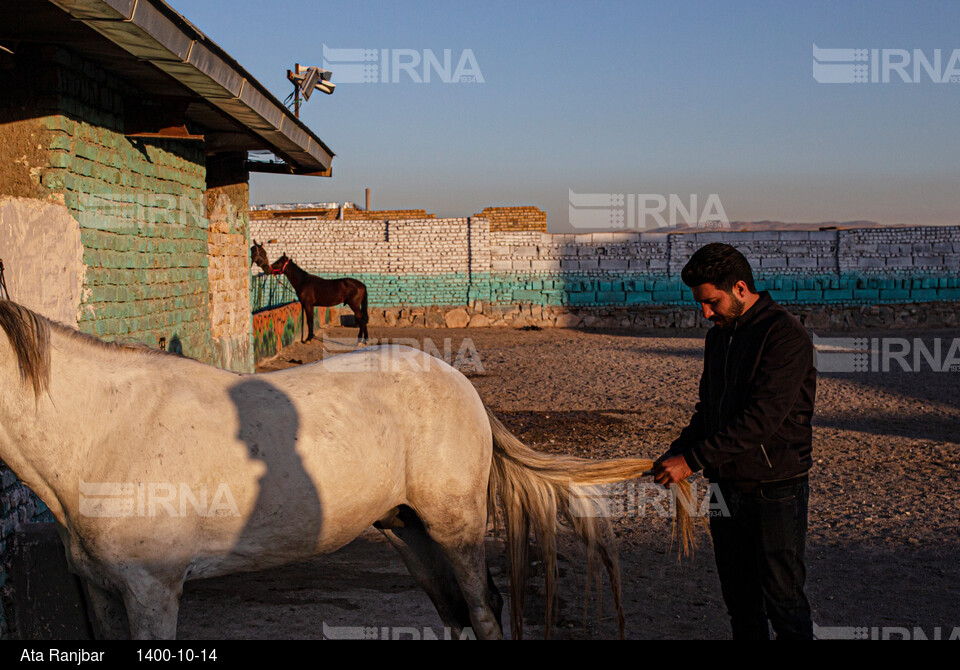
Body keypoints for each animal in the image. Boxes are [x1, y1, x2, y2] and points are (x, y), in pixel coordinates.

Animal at [0, 300, 688, 640]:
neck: (106, 432)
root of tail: (460, 383)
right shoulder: (101, 593)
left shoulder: (154, 591)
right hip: (408, 530)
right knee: (458, 613)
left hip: (455, 527)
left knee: (486, 611)